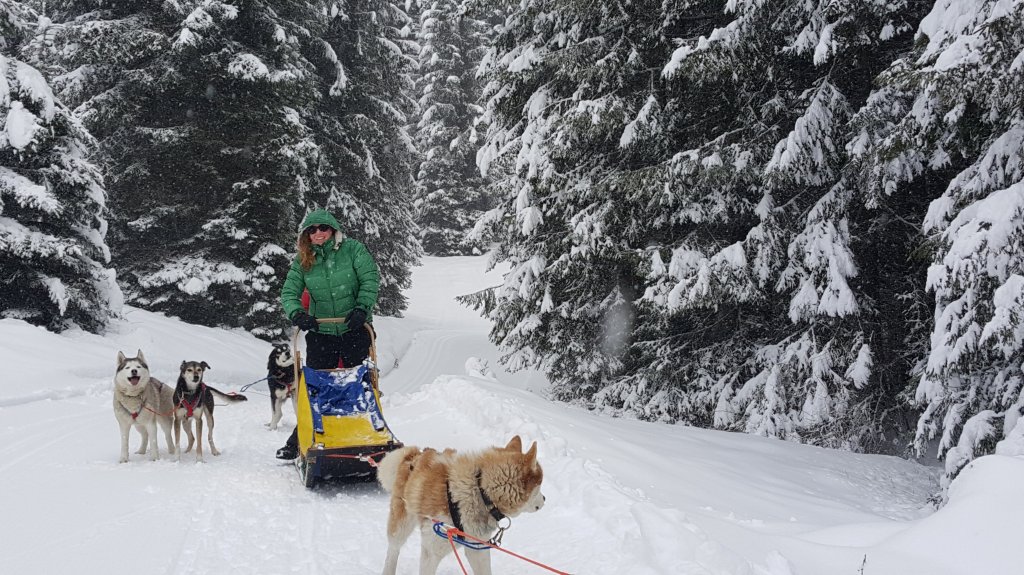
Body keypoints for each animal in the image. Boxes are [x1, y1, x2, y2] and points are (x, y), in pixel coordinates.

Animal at [376, 433, 544, 572]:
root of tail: (416, 454)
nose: (545, 499)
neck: (479, 491)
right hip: (401, 526)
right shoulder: (431, 552)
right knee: (393, 551)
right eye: (540, 485)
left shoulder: (477, 548)